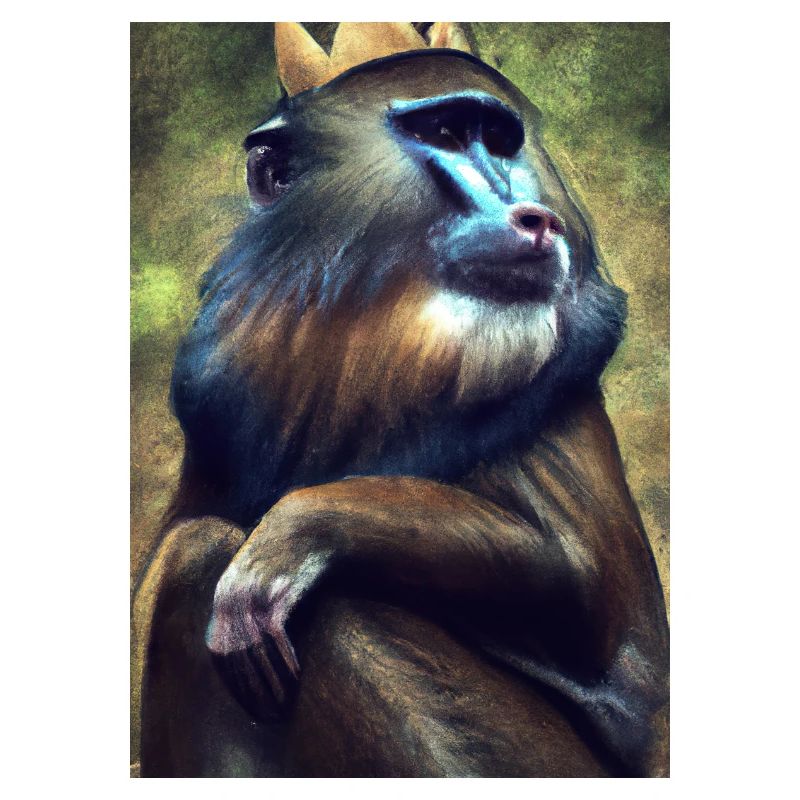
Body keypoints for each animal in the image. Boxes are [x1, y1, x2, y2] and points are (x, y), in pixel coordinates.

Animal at [133, 22, 669, 778]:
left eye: (496, 138)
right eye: (444, 132)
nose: (535, 217)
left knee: (222, 566)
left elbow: (580, 586)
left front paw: (293, 533)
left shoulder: (558, 374)